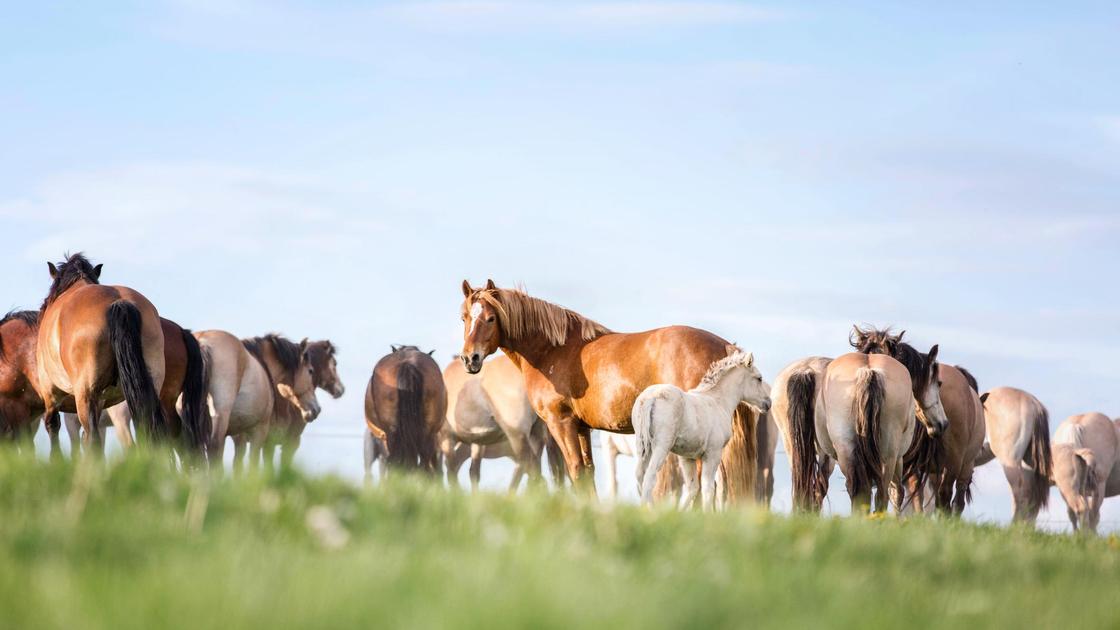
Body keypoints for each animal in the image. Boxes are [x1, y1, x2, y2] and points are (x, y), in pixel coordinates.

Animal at [456, 276, 761, 497]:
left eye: (491, 318)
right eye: (464, 318)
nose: (470, 359)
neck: (553, 350)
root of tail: (723, 345)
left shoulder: (561, 423)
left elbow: (574, 470)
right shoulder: (581, 427)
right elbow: (586, 472)